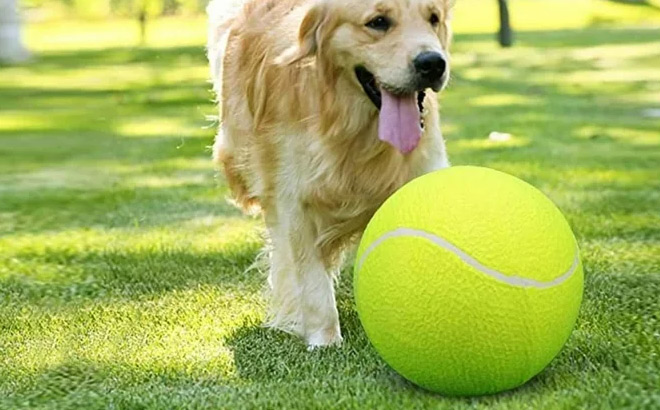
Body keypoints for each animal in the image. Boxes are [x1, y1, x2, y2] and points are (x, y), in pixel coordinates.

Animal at [208, 0, 454, 346]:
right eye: (378, 22)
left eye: (434, 19)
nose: (433, 63)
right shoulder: (293, 202)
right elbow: (310, 278)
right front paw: (324, 339)